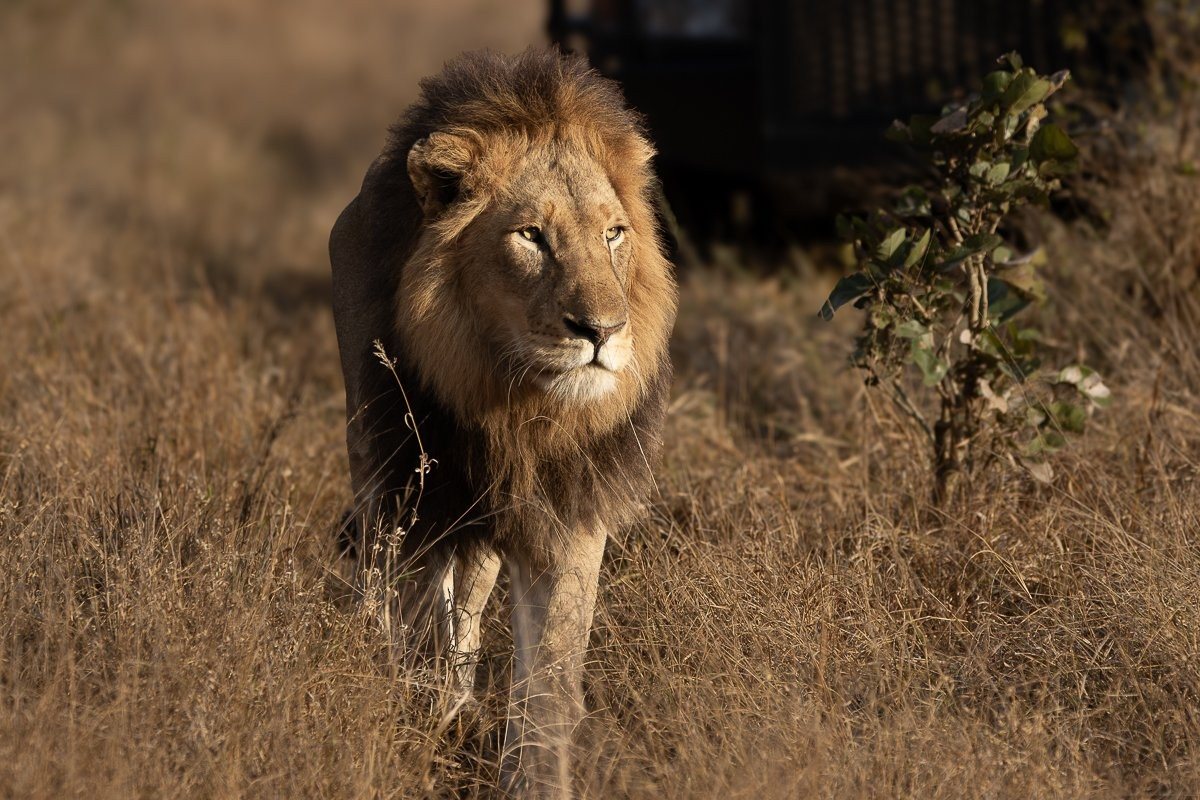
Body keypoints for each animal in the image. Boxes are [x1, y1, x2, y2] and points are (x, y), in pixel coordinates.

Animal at [328, 49, 676, 796]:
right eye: (531, 237)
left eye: (613, 234)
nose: (602, 331)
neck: (520, 405)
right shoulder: (418, 495)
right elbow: (417, 619)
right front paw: (420, 716)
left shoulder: (568, 513)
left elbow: (549, 677)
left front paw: (533, 776)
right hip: (373, 458)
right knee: (385, 577)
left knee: (470, 594)